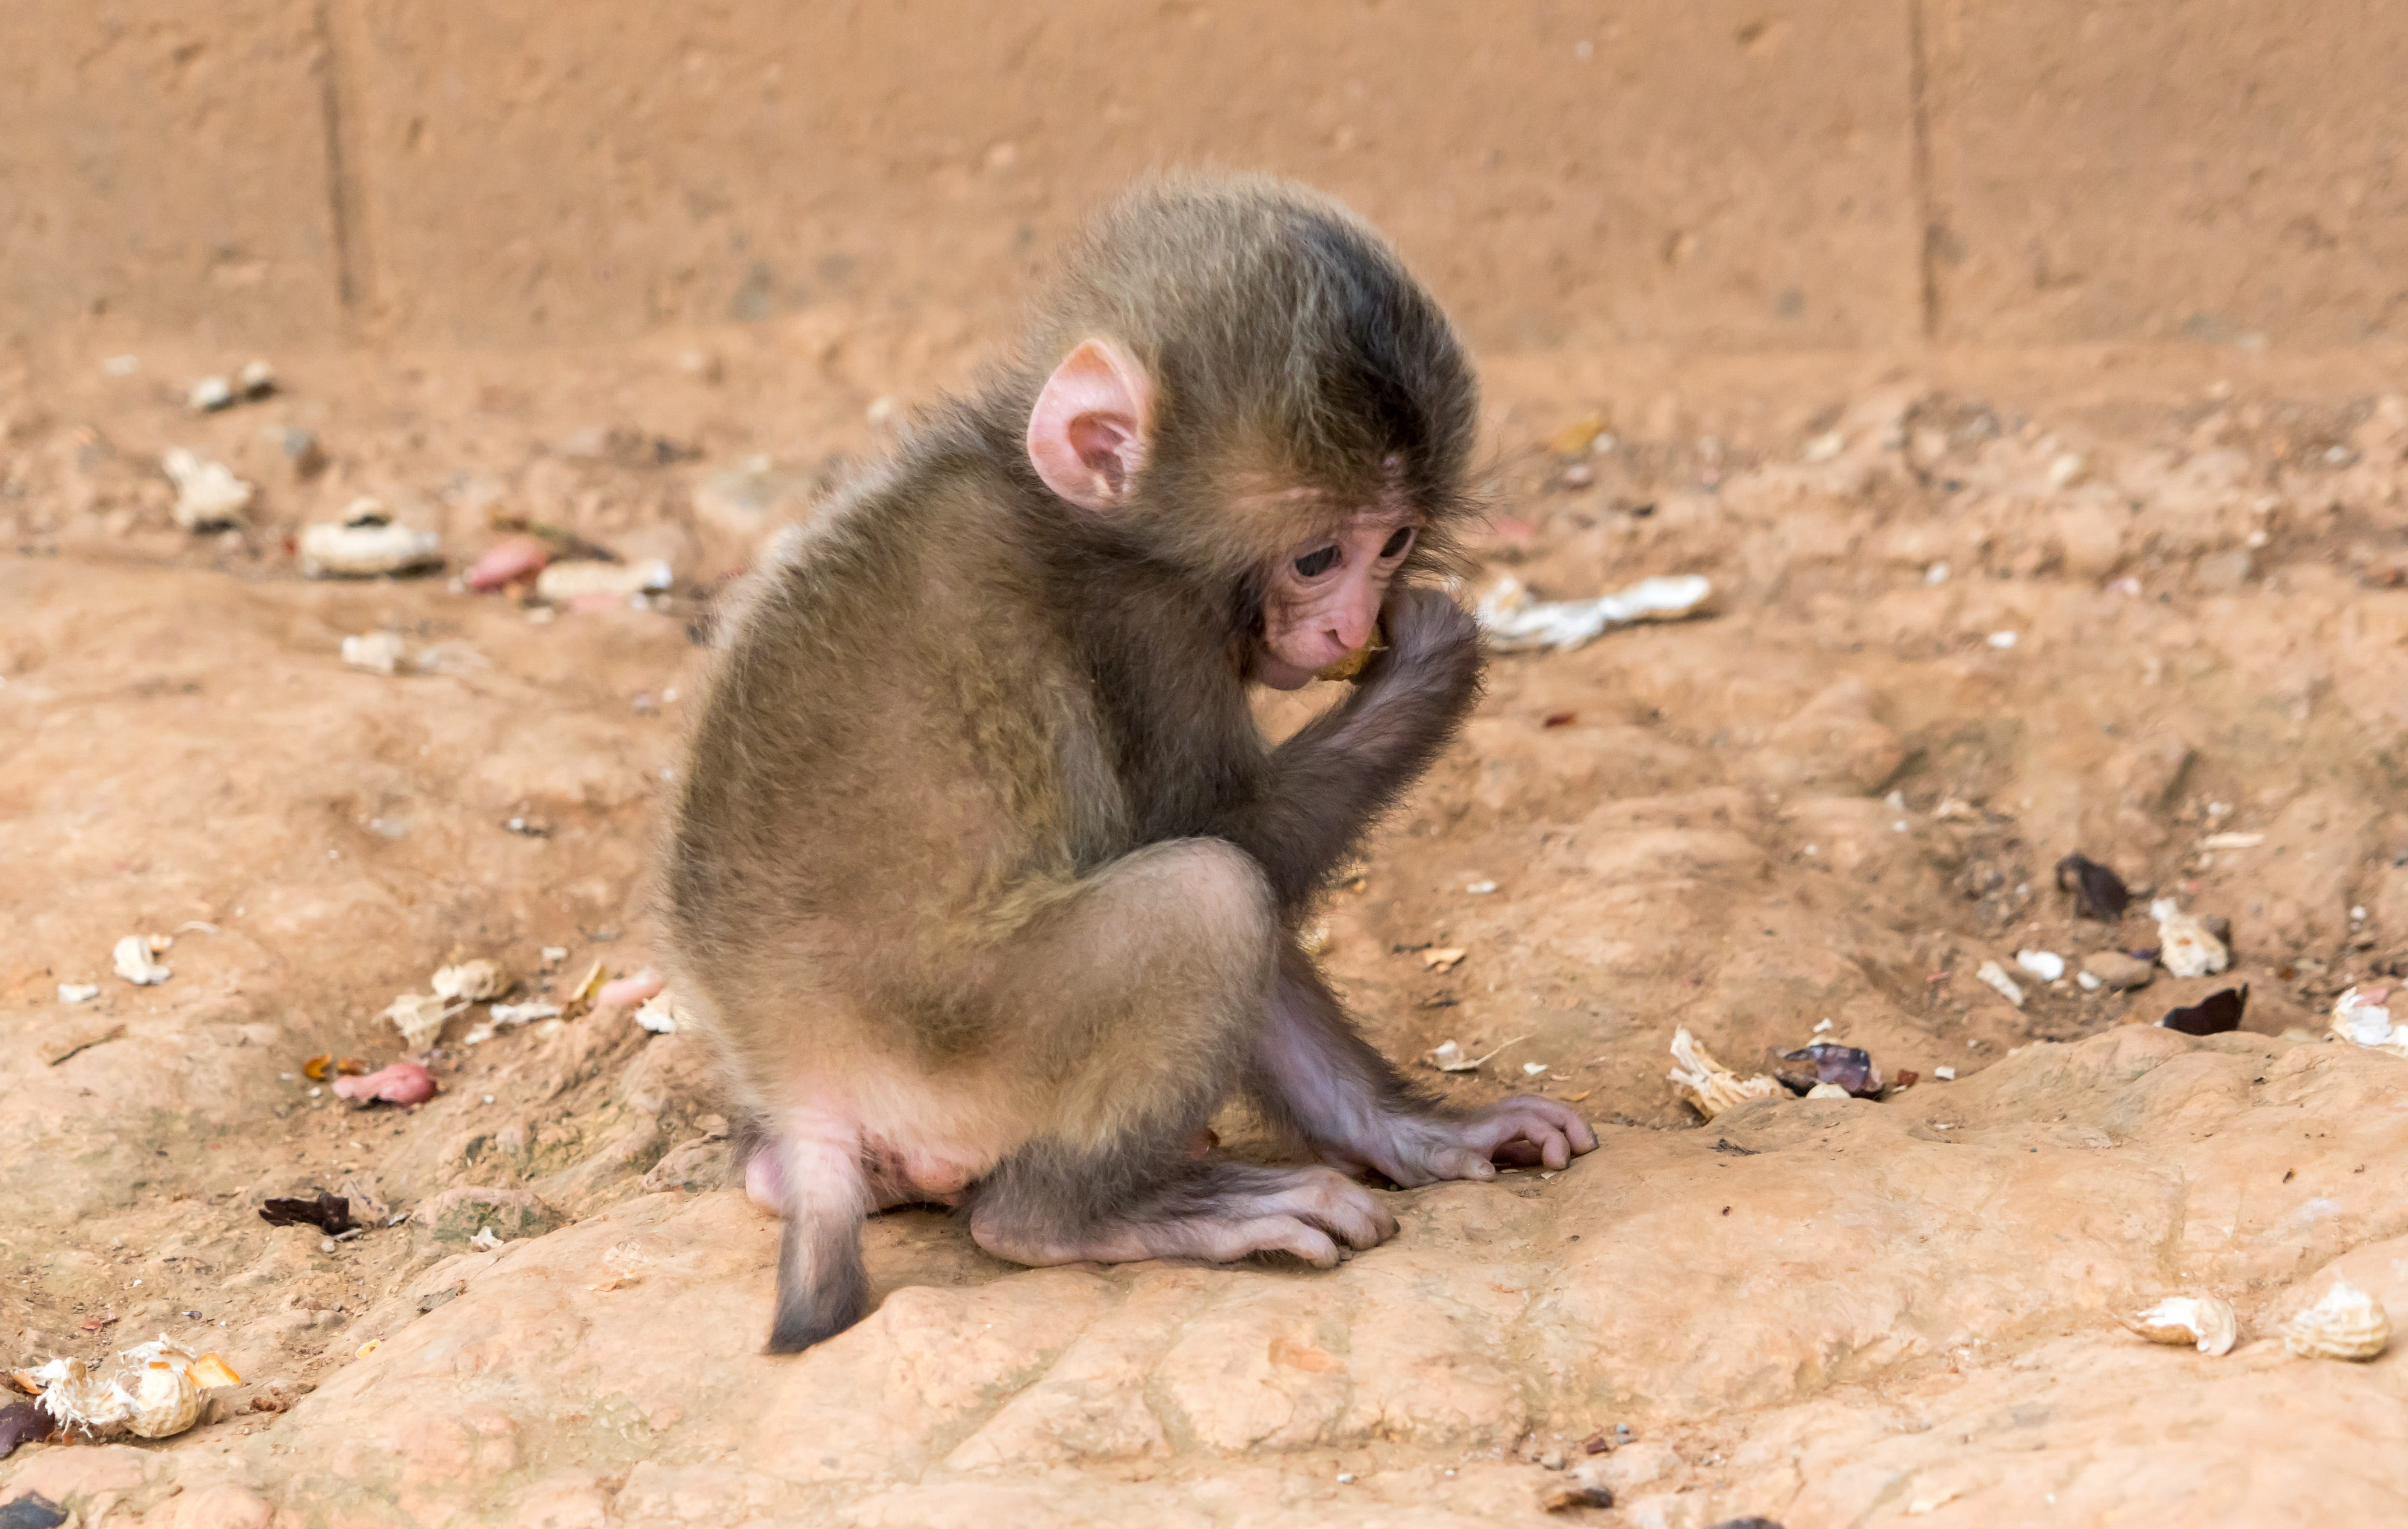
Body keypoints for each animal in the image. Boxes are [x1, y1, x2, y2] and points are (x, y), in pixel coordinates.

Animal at [663, 174, 1597, 1353]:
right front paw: (1435, 659)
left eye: (1390, 542)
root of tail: (802, 1073)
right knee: (1208, 891)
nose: (1348, 629)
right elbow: (1229, 834)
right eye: (1316, 557)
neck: (1068, 507)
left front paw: (1413, 1131)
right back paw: (1071, 1217)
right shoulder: (1151, 625)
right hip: (961, 1054)